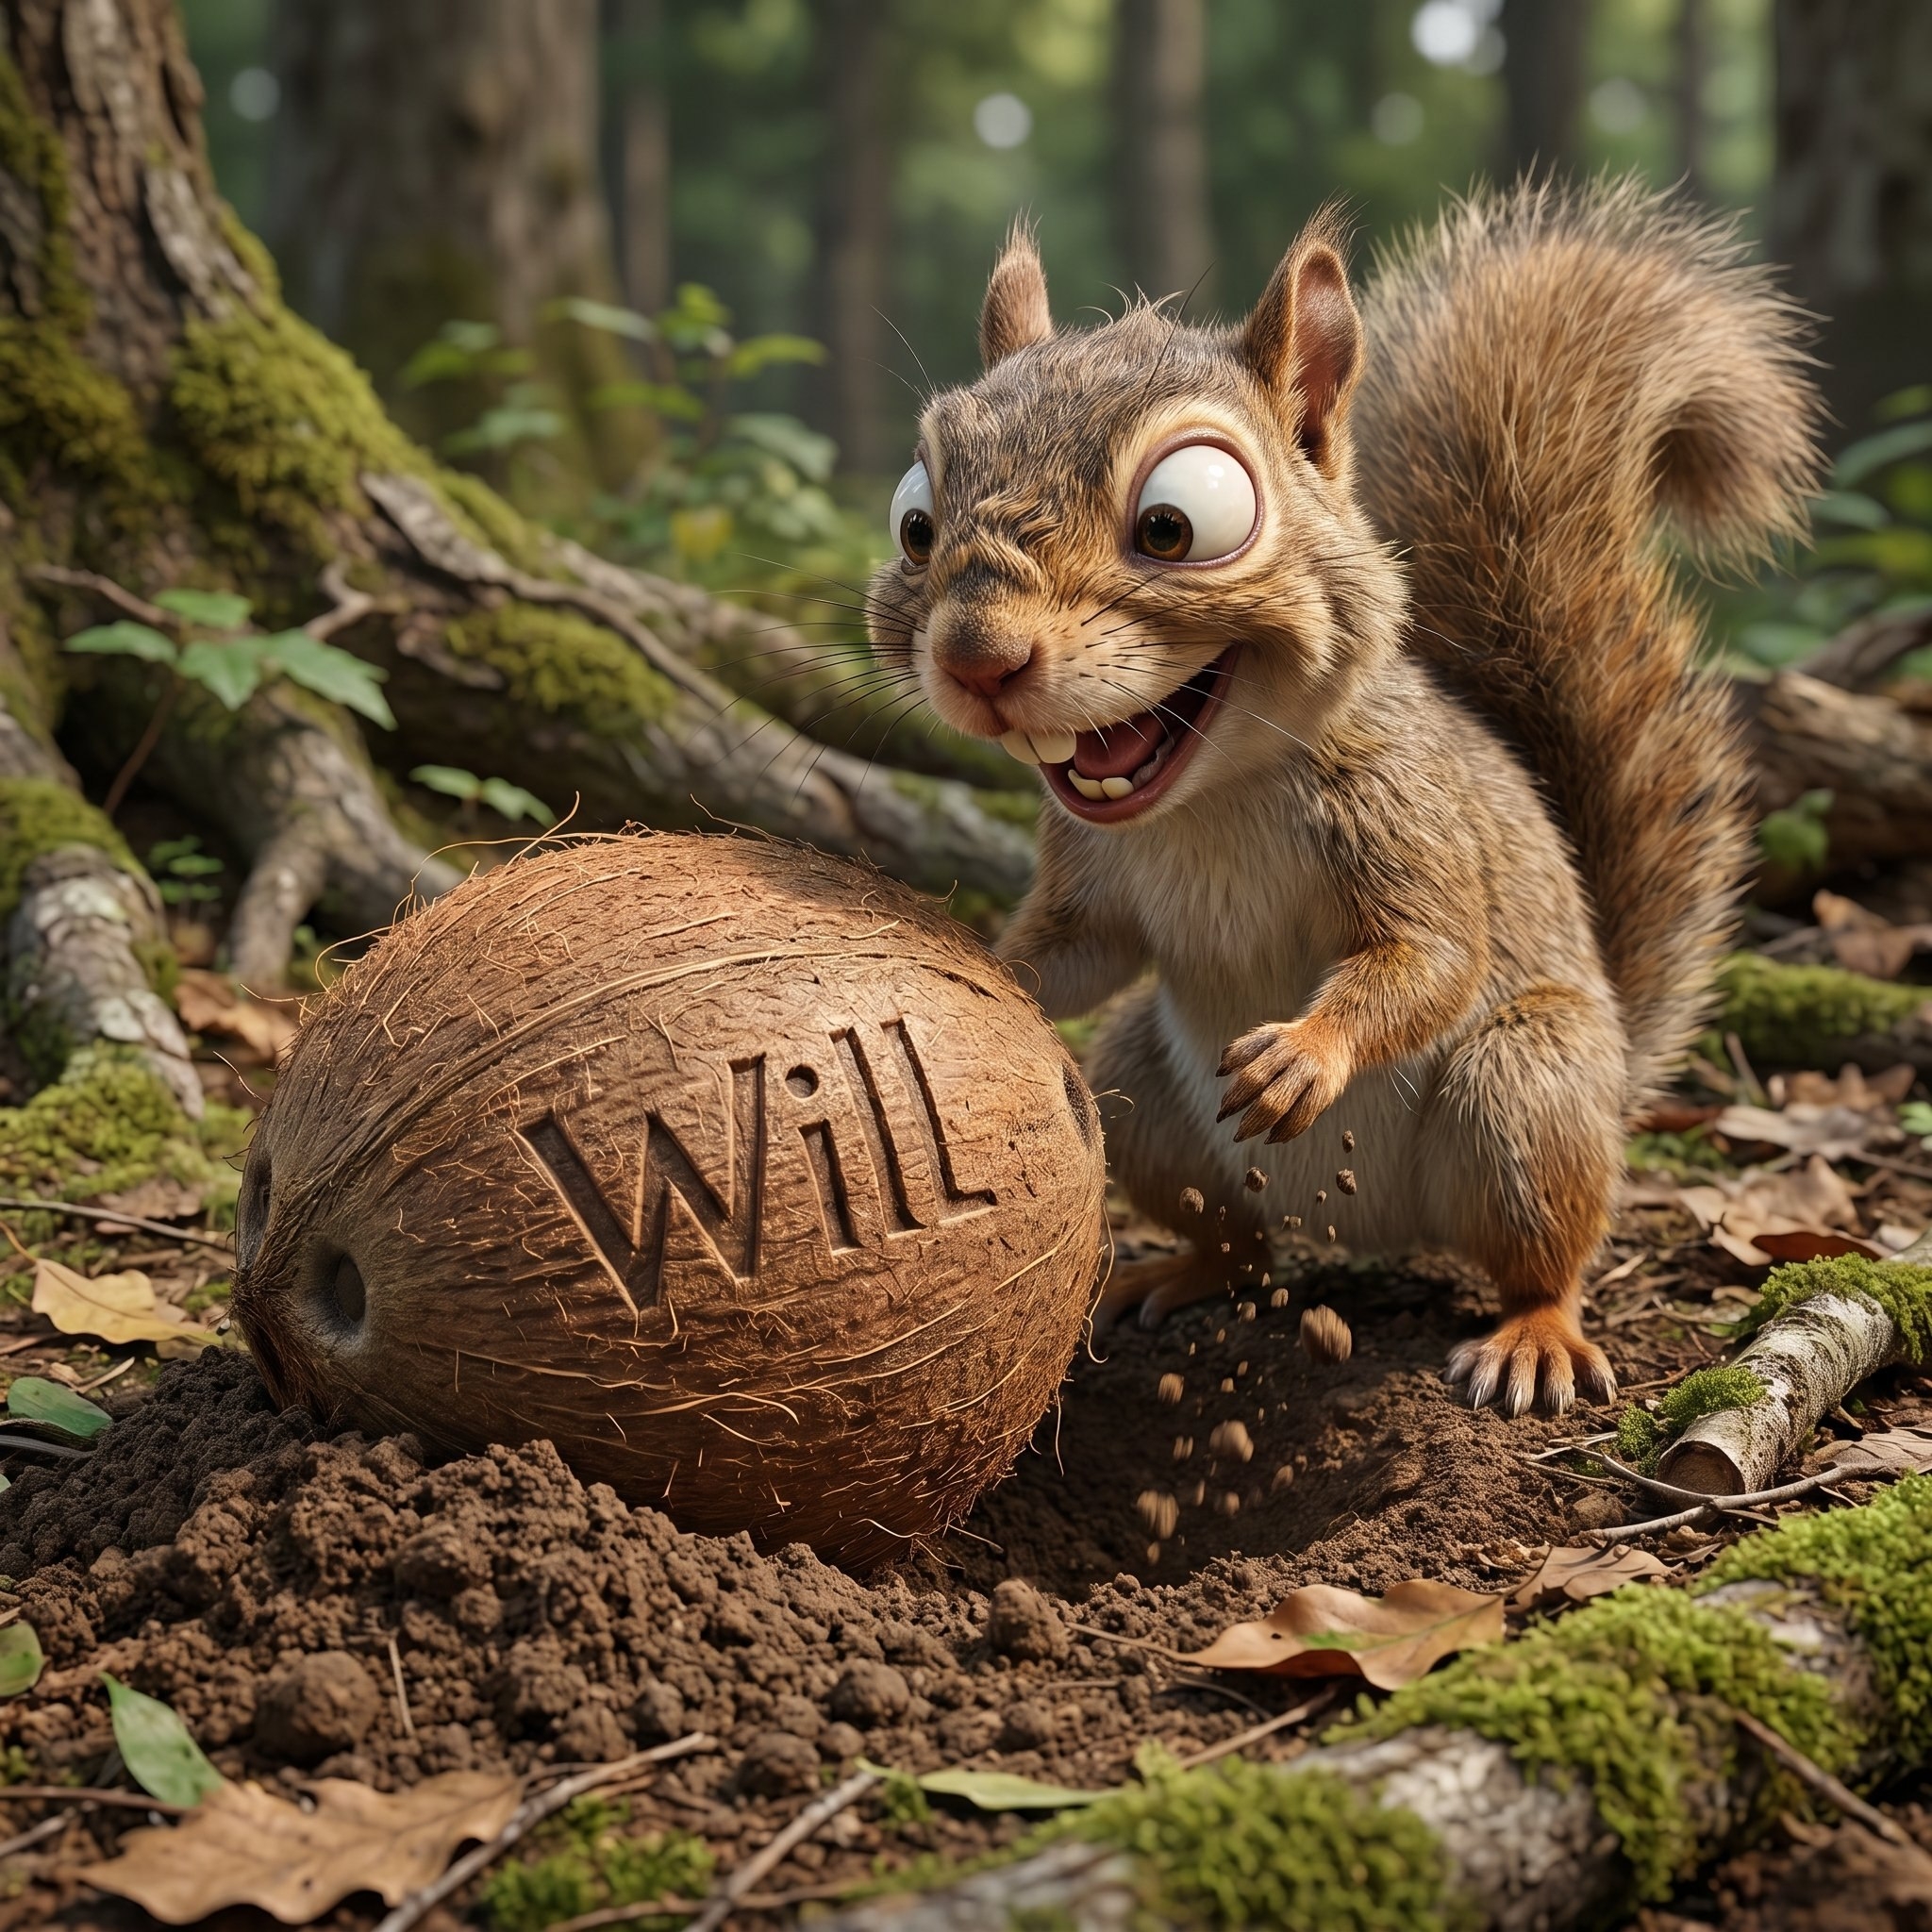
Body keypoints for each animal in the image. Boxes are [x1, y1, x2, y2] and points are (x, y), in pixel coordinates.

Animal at [866, 180, 1819, 1415]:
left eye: (1174, 523)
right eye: (914, 523)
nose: (976, 658)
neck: (1207, 800)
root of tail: (1367, 1229)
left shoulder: (1404, 813)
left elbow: (1429, 955)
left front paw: (1304, 1054)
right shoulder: (1087, 873)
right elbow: (1071, 954)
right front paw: (980, 969)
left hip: (1525, 1090)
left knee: (1542, 1249)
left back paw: (1533, 1336)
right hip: (1143, 1096)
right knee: (1235, 1240)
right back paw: (1168, 1273)